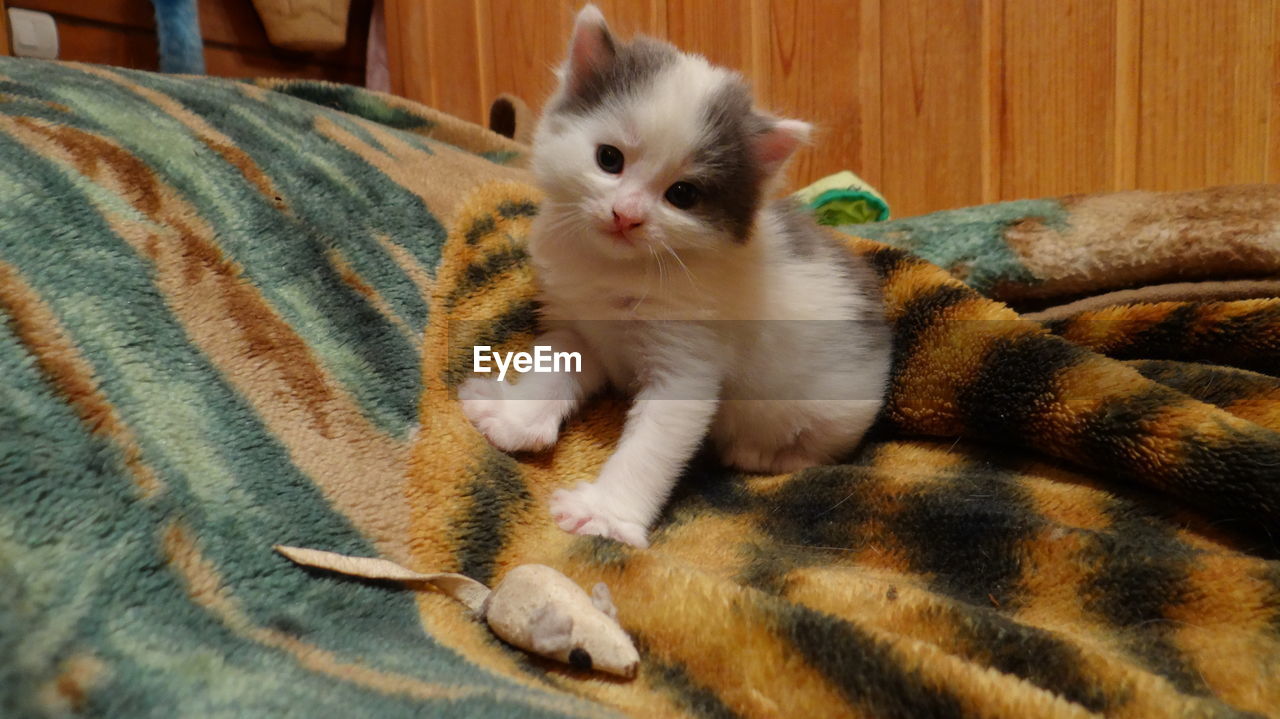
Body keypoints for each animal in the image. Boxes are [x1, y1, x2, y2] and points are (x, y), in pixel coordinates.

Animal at [460, 5, 890, 545]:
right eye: (609, 159)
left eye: (682, 195)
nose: (626, 215)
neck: (619, 269)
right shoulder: (576, 323)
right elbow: (556, 367)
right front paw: (513, 416)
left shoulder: (690, 354)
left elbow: (655, 444)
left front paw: (605, 513)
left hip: (831, 407)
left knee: (811, 448)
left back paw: (758, 452)